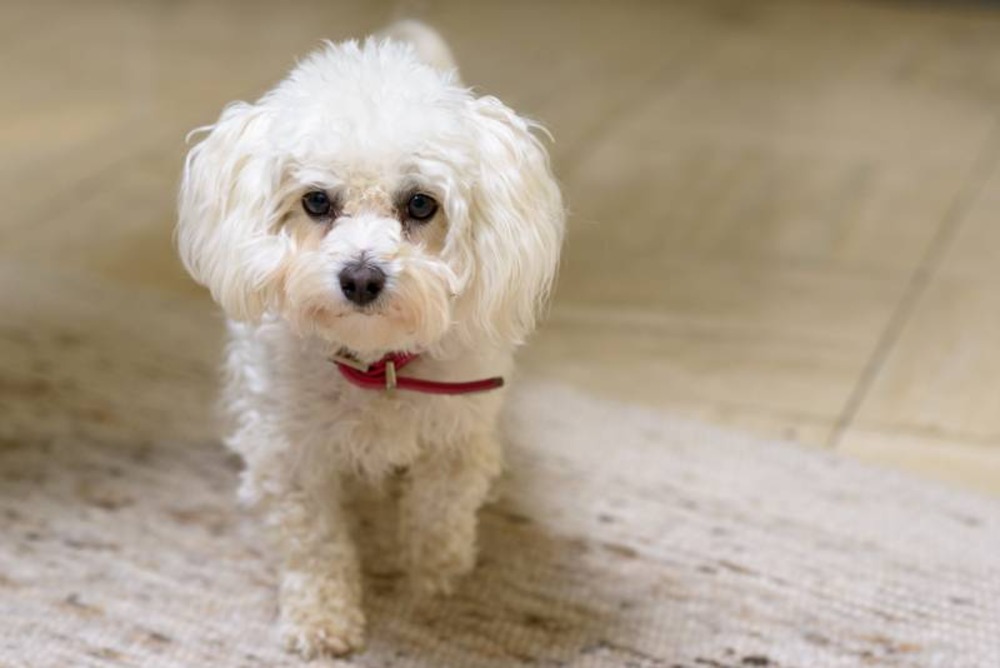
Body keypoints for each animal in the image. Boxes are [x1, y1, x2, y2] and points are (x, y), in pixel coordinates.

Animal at [174, 19, 564, 656]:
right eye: (316, 200)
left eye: (421, 204)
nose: (360, 277)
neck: (377, 363)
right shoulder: (292, 453)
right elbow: (316, 544)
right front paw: (322, 619)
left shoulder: (456, 437)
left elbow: (439, 513)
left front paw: (433, 579)